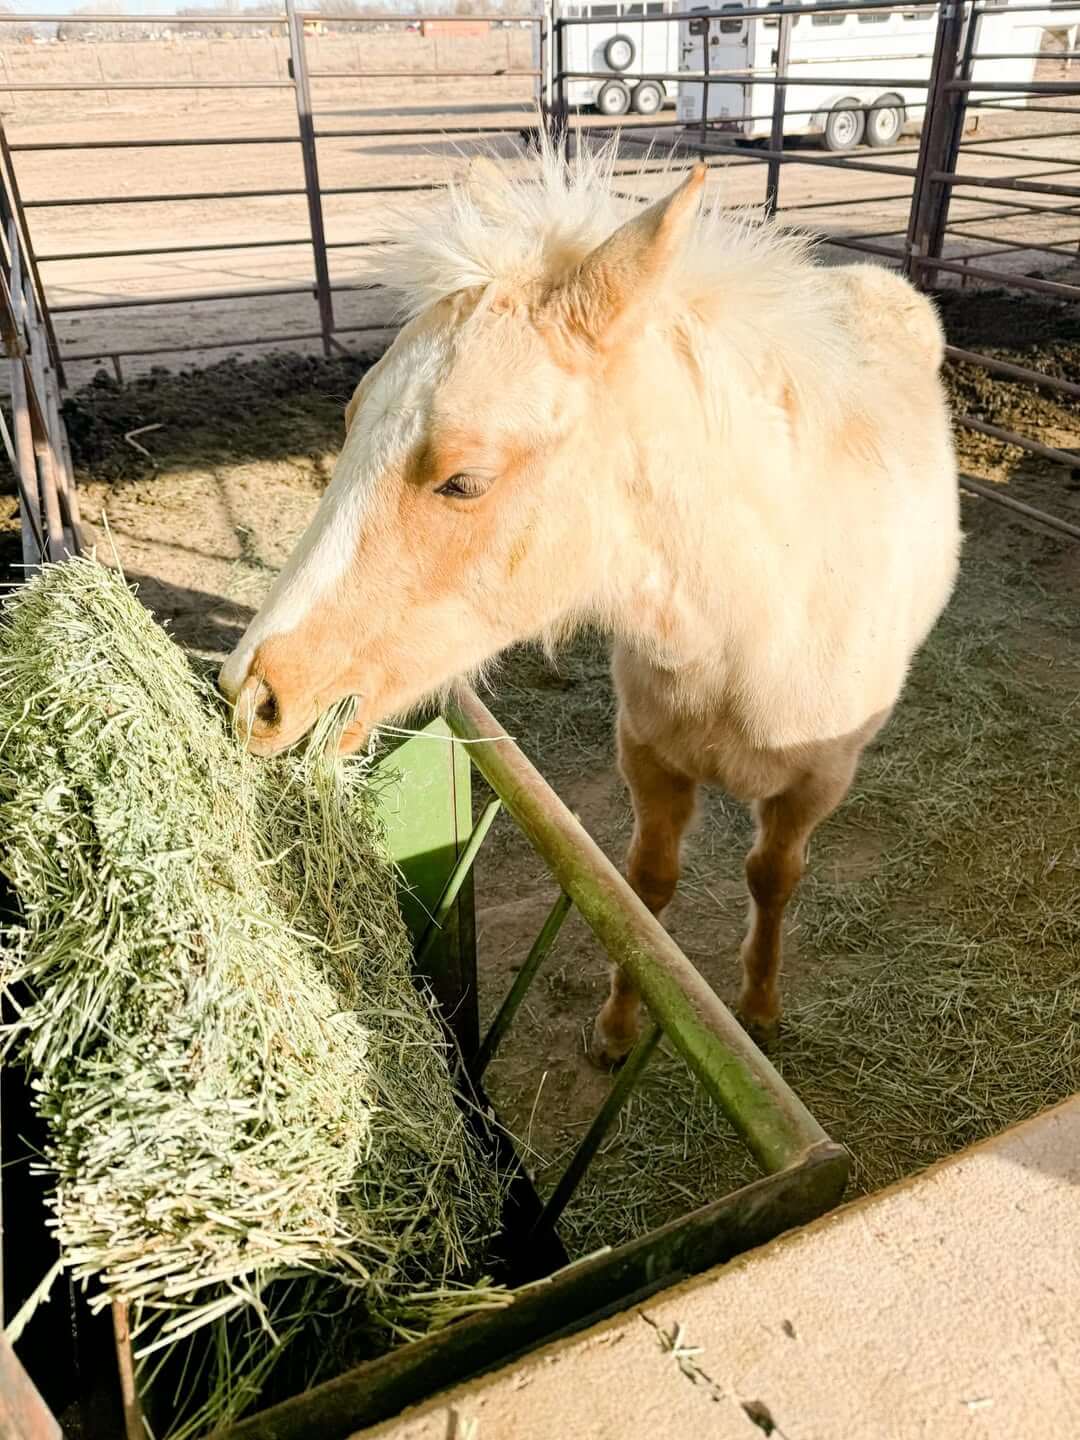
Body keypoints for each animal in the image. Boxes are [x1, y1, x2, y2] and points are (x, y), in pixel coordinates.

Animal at [219, 143, 961, 1065]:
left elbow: (771, 879)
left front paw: (758, 1007)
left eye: (465, 480)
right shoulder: (648, 752)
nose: (255, 694)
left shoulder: (814, 785)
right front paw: (616, 1027)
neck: (754, 617)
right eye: (351, 422)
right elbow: (644, 895)